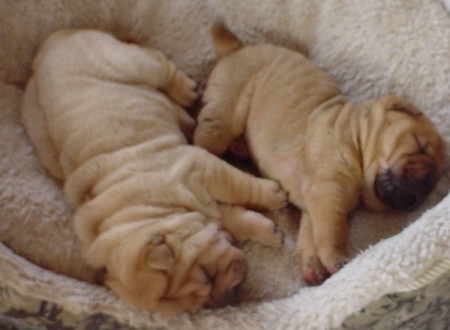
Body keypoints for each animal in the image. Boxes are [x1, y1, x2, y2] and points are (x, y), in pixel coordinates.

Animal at [20, 29, 288, 316]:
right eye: (200, 303)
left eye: (207, 272)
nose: (228, 294)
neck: (152, 210)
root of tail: (51, 43)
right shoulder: (206, 209)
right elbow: (235, 218)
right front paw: (267, 230)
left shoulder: (204, 169)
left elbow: (241, 186)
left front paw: (274, 196)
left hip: (128, 62)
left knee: (158, 63)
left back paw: (187, 91)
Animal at [195, 21, 444, 284]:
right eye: (419, 145)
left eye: (435, 179)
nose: (428, 183)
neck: (356, 136)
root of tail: (237, 47)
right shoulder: (328, 189)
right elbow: (333, 228)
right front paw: (336, 258)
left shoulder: (313, 200)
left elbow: (311, 232)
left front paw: (313, 265)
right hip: (223, 111)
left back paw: (240, 149)